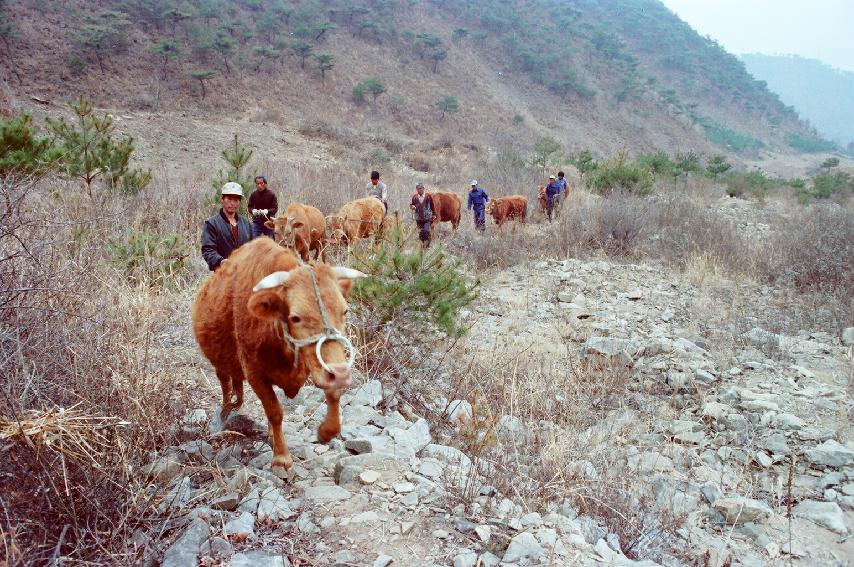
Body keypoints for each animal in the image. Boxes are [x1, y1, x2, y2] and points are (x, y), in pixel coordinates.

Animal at [192, 237, 366, 472]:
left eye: (345, 311)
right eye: (295, 318)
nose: (339, 374)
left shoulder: (321, 365)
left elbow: (333, 392)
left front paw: (325, 431)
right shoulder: (255, 374)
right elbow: (274, 411)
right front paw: (282, 457)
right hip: (219, 362)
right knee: (226, 385)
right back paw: (225, 412)